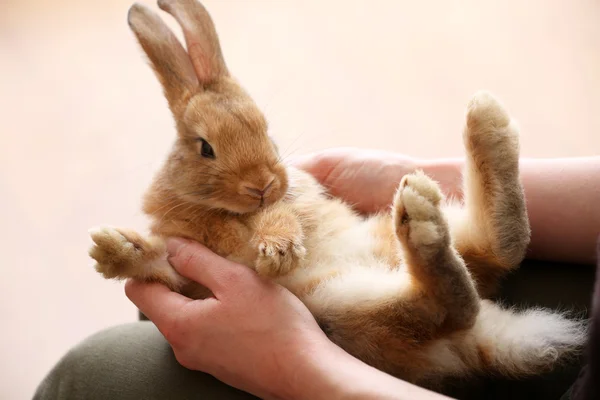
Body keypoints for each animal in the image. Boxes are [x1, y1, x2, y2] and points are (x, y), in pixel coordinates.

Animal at [89, 0, 584, 388]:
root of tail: (482, 339)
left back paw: (478, 131)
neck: (216, 208)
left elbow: (277, 219)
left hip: (345, 301)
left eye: (265, 129)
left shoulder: (284, 203)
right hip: (349, 301)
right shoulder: (189, 278)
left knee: (460, 290)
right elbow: (160, 266)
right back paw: (462, 166)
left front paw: (278, 251)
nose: (263, 184)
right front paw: (113, 250)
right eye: (204, 147)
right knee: (484, 264)